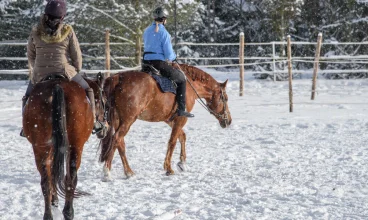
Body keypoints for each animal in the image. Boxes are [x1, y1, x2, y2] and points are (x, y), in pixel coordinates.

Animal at [22, 72, 105, 220]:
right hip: (75, 146)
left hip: (41, 147)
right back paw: (68, 212)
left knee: (46, 181)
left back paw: (49, 215)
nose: (103, 127)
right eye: (103, 101)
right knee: (70, 178)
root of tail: (57, 86)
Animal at [98, 62, 233, 180]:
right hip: (128, 120)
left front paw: (182, 163)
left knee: (119, 142)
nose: (229, 121)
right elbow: (172, 141)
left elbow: (182, 136)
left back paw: (128, 172)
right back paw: (107, 172)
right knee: (116, 139)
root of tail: (117, 78)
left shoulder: (170, 120)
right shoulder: (181, 118)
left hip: (118, 120)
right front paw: (169, 168)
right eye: (225, 98)